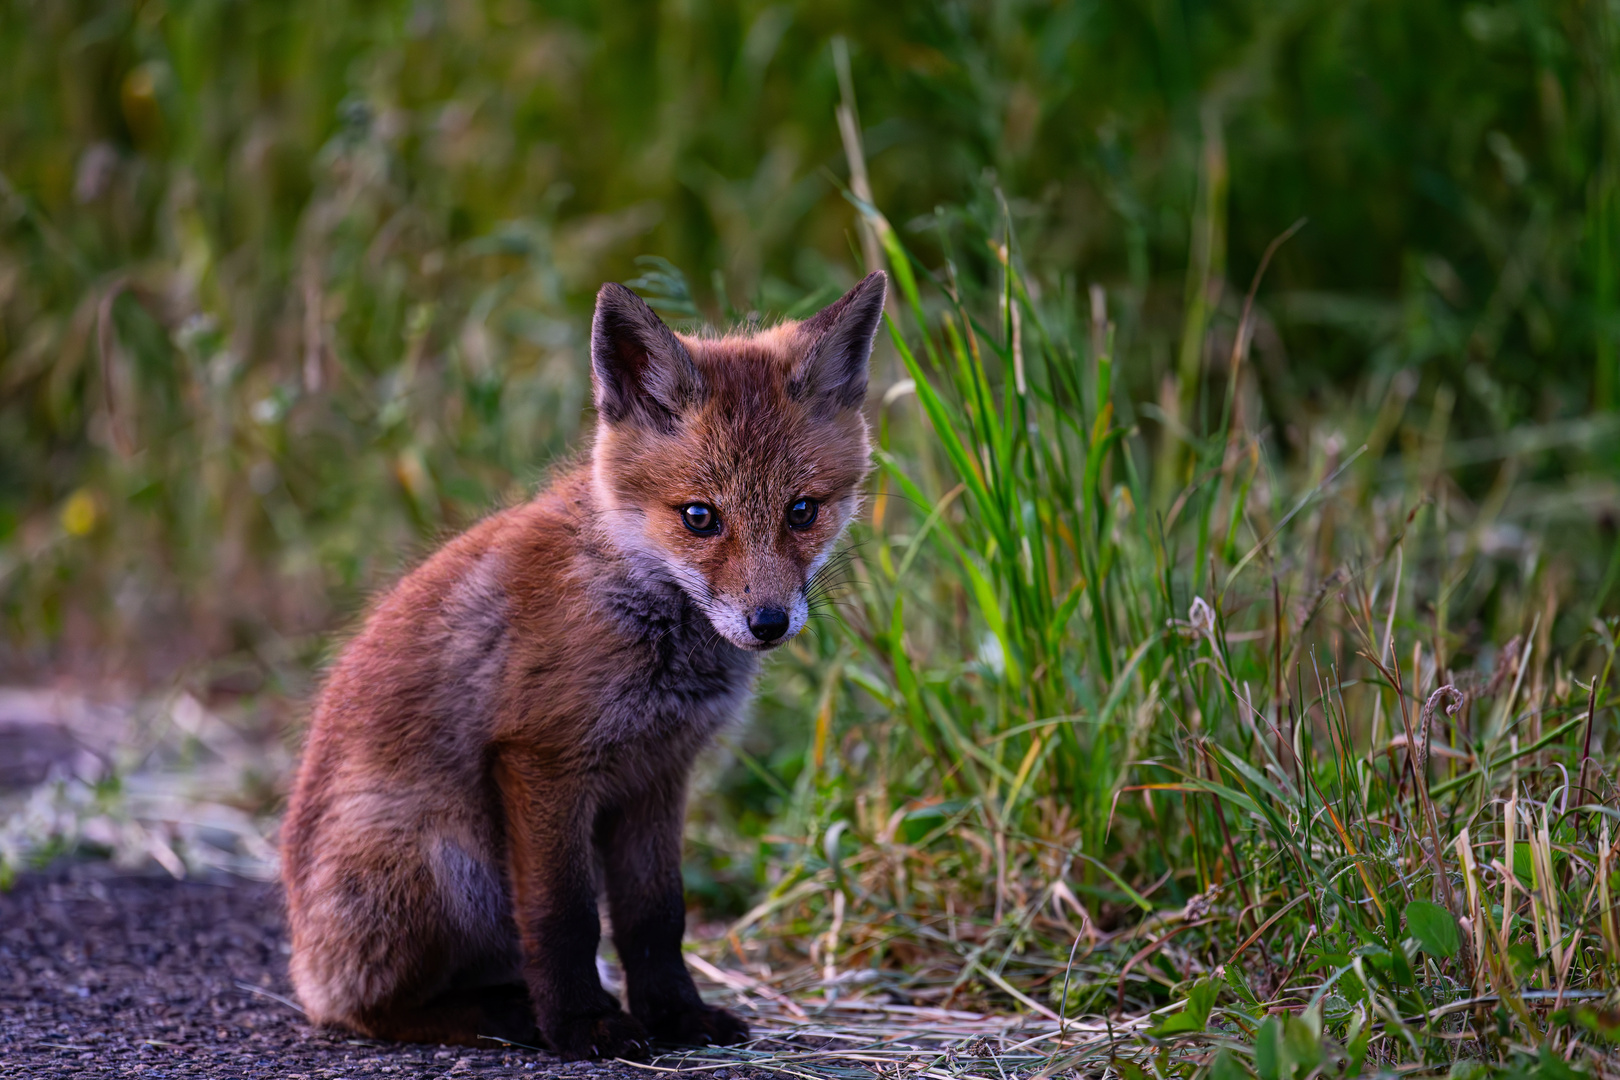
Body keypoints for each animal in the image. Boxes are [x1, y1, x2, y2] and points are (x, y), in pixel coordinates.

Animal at [278, 270, 887, 1055]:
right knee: (368, 1011)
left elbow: (655, 918)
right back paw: (506, 1017)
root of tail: (303, 959)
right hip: (444, 863)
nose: (768, 623)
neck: (639, 609)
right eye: (700, 517)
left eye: (802, 510)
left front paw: (676, 1015)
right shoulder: (543, 760)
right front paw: (581, 1023)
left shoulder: (659, 773)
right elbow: (564, 918)